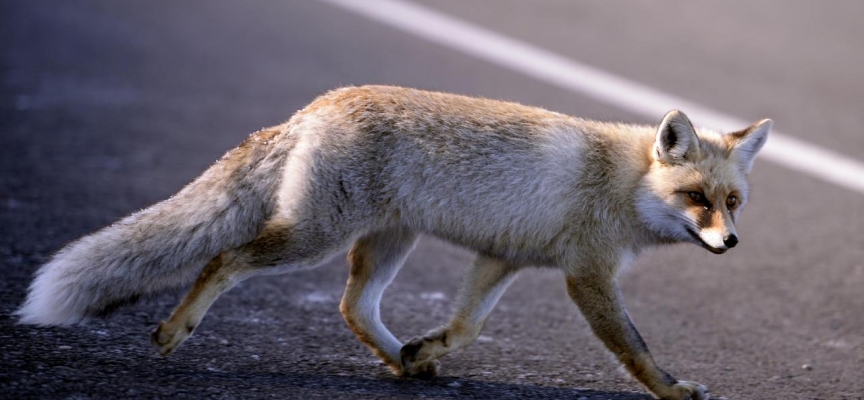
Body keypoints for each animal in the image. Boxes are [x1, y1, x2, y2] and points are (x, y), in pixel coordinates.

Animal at [13, 85, 768, 400]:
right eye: (696, 200)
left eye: (732, 202)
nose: (731, 243)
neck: (621, 180)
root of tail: (318, 102)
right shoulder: (586, 275)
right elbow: (636, 351)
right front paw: (672, 392)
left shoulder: (505, 257)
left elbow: (465, 328)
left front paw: (426, 350)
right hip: (316, 237)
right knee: (228, 258)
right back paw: (175, 329)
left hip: (386, 242)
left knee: (352, 307)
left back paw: (404, 362)